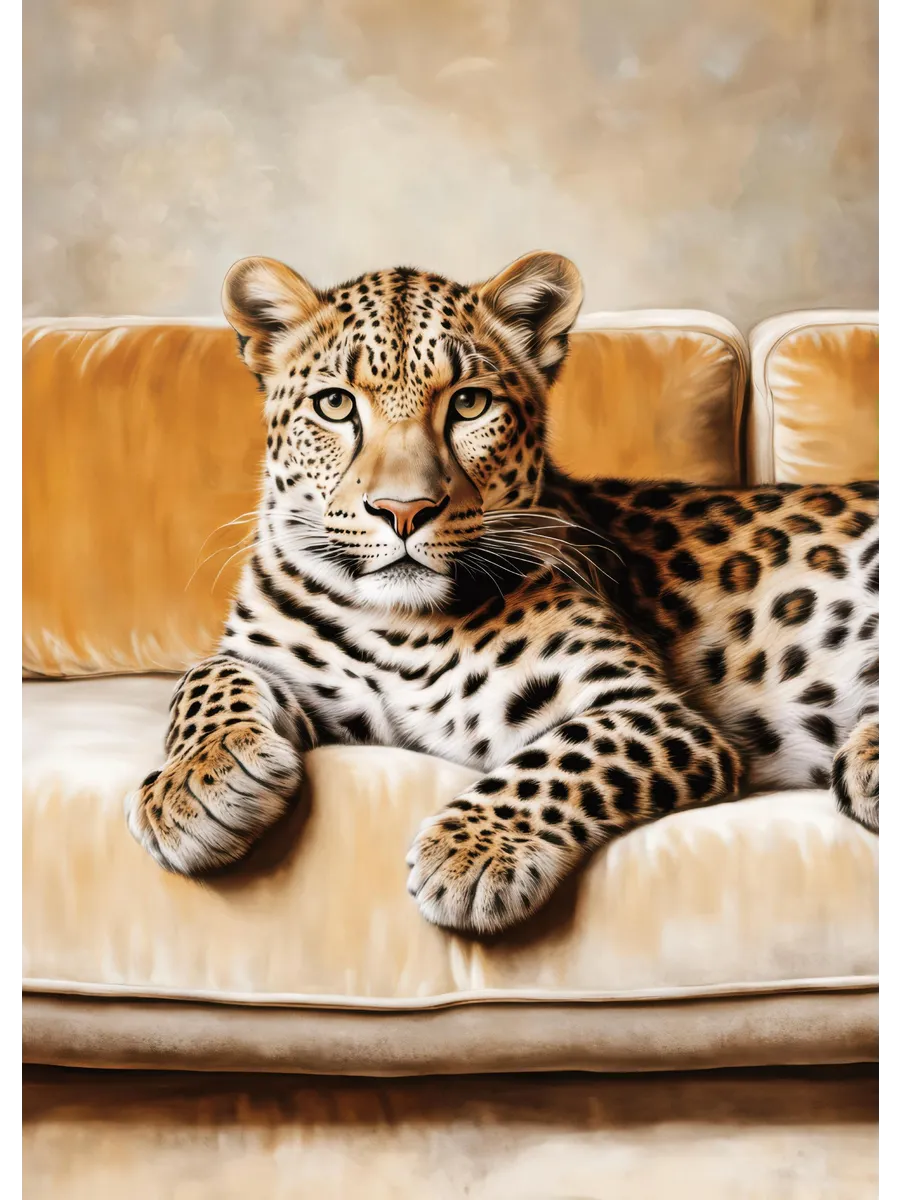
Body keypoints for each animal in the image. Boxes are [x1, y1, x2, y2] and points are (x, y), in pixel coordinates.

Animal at [126, 251, 880, 935]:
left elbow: (562, 756)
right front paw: (195, 785)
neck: (399, 624)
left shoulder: (653, 710)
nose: (403, 511)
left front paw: (470, 854)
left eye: (470, 403)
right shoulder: (293, 677)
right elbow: (208, 675)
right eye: (335, 405)